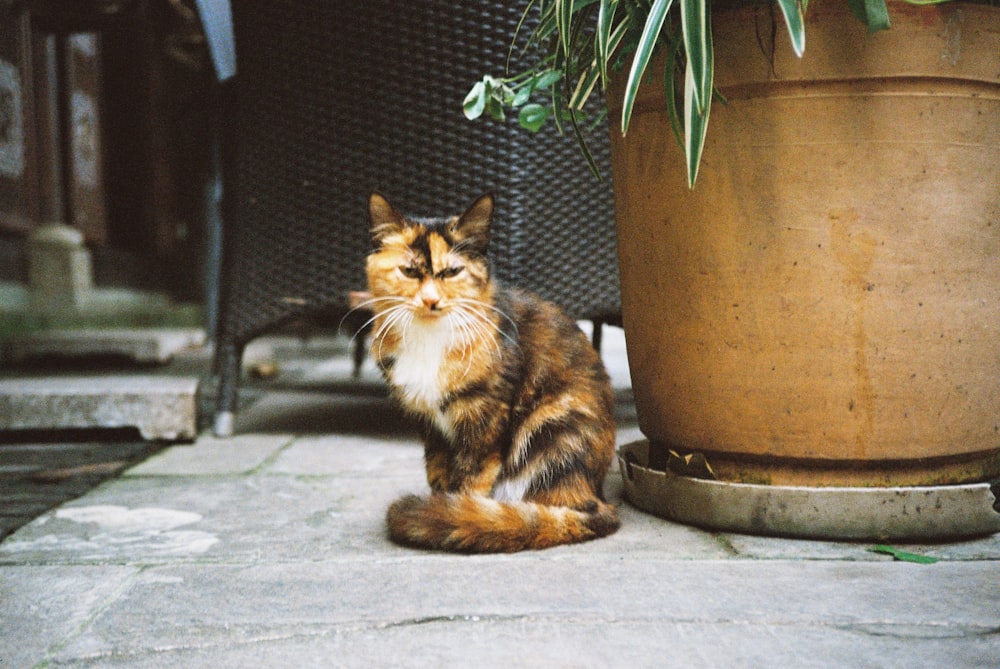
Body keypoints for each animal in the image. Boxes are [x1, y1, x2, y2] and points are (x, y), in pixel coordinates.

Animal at [364, 190, 620, 552]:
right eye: (409, 271)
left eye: (452, 272)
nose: (430, 301)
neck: (430, 338)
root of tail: (599, 498)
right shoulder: (431, 428)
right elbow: (438, 474)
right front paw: (442, 507)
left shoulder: (485, 421)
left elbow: (470, 480)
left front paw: (455, 513)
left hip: (551, 426)